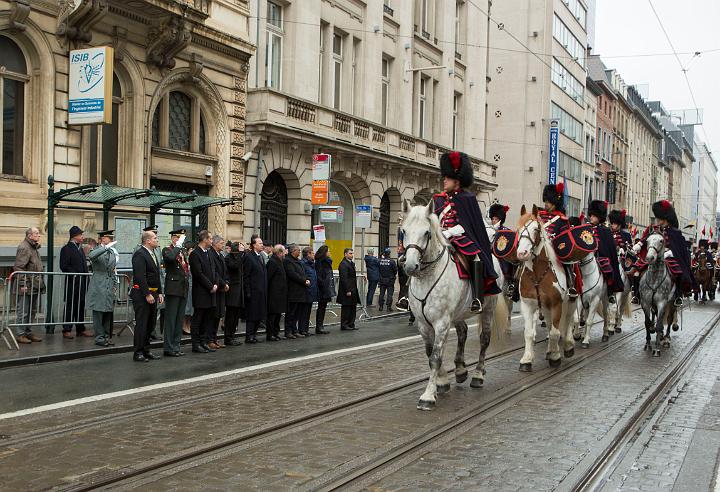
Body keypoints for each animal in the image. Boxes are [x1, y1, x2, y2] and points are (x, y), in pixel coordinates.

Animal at [400, 198, 506, 410]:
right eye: (404, 231)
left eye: (427, 233)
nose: (410, 266)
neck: (427, 276)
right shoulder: (423, 324)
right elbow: (429, 353)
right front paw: (442, 382)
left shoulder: (441, 322)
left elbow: (435, 357)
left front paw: (428, 396)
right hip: (457, 314)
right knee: (463, 332)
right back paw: (460, 370)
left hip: (488, 309)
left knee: (484, 339)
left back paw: (478, 375)